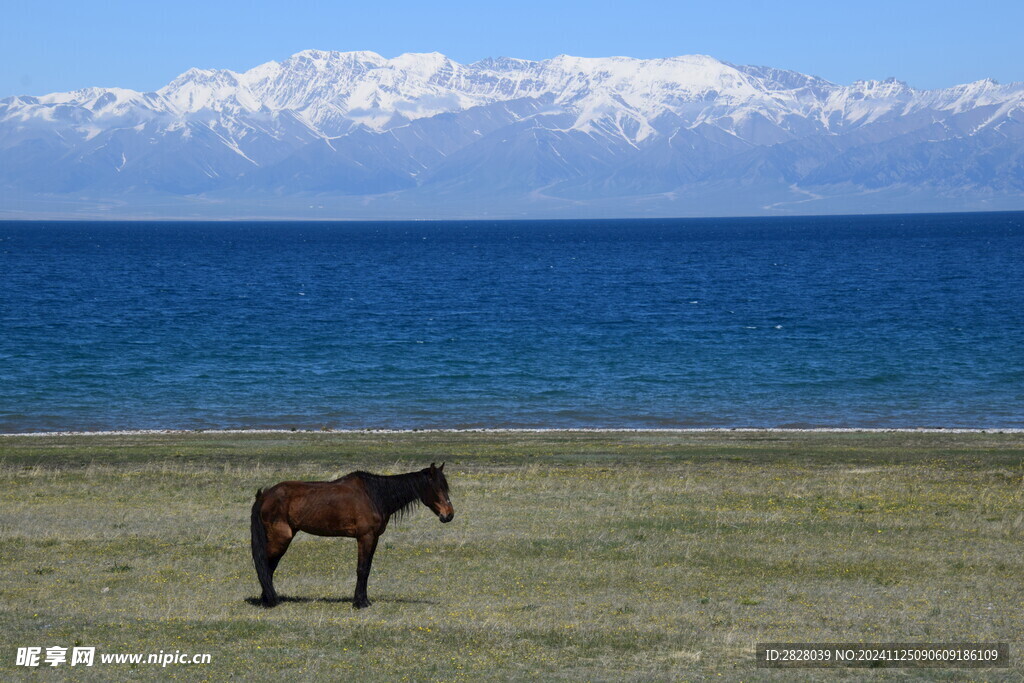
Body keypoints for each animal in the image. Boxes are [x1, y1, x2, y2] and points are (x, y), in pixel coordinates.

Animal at [247, 464, 452, 610]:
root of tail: (265, 495)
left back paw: (267, 599)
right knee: (264, 564)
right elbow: (361, 569)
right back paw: (269, 600)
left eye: (445, 487)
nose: (449, 515)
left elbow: (367, 569)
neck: (374, 495)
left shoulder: (374, 539)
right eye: (436, 488)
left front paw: (364, 600)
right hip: (281, 539)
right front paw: (359, 603)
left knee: (268, 566)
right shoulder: (365, 537)